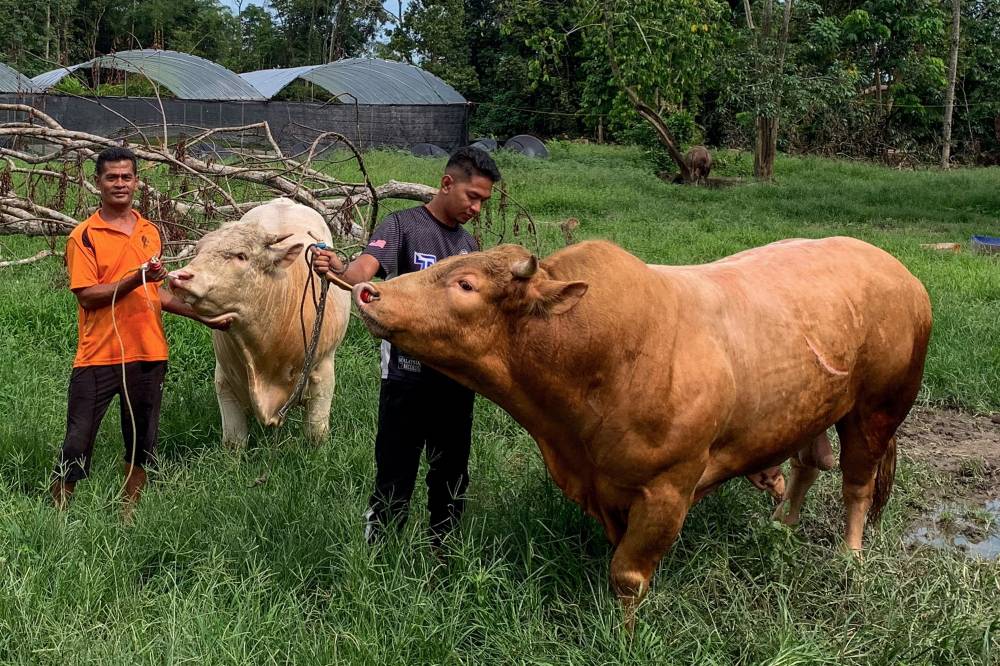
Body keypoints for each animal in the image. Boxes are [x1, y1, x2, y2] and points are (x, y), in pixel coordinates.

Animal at [169, 198, 351, 446]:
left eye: (241, 256)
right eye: (198, 251)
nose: (179, 277)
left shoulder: (323, 374)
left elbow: (316, 434)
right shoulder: (224, 380)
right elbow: (234, 441)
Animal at [348, 237, 932, 627]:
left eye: (465, 283)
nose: (368, 291)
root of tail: (896, 269)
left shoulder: (668, 489)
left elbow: (628, 573)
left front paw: (626, 632)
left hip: (877, 410)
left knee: (857, 482)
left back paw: (850, 554)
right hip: (812, 405)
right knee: (809, 461)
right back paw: (782, 525)